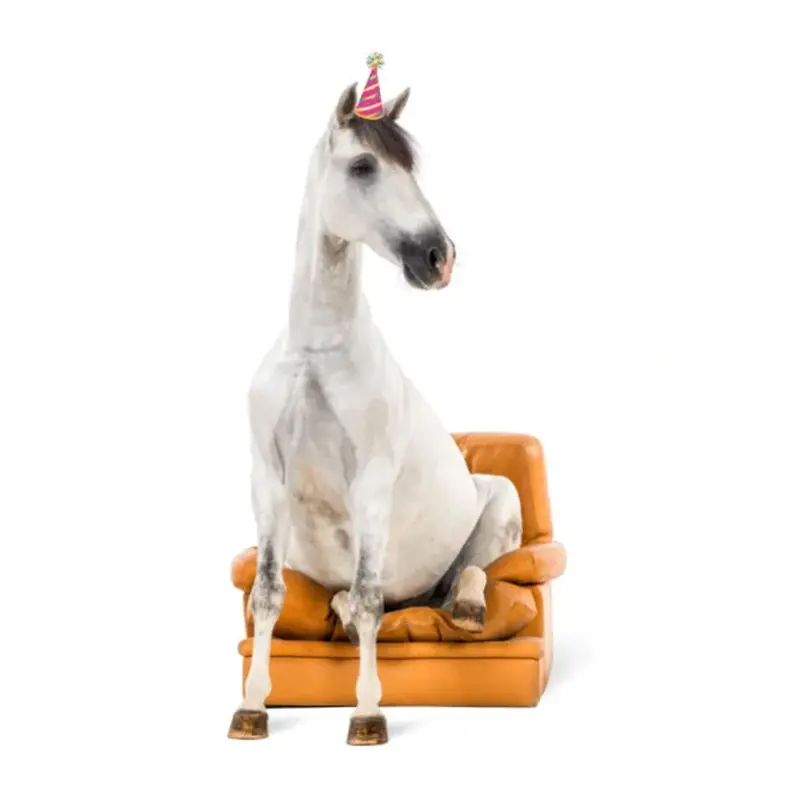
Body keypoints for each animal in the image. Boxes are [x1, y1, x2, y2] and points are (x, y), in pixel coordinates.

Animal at [227, 81, 523, 745]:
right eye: (363, 166)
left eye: (412, 167)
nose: (439, 256)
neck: (318, 352)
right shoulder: (267, 482)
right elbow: (268, 595)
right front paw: (253, 708)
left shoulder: (371, 484)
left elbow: (369, 599)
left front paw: (366, 714)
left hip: (503, 504)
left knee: (467, 578)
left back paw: (468, 609)